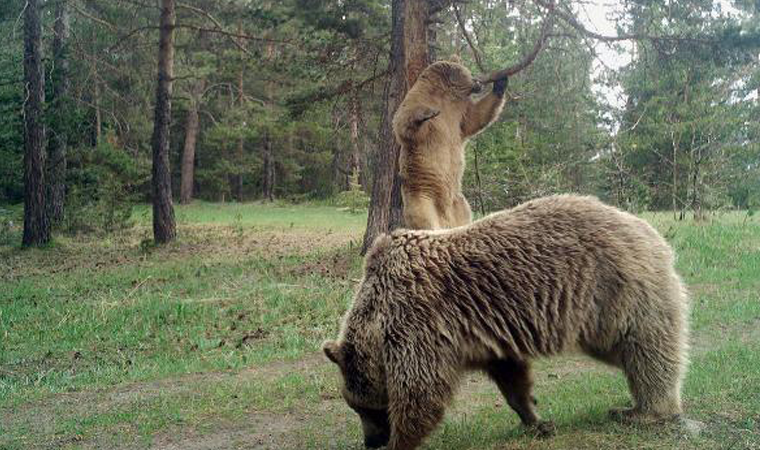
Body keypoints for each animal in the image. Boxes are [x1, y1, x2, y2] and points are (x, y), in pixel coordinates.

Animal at [392, 59, 504, 229]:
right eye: (468, 72)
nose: (478, 82)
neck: (446, 95)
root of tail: (446, 221)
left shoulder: (458, 114)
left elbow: (475, 118)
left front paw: (501, 82)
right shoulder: (420, 102)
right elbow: (403, 122)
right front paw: (426, 114)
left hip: (459, 203)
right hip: (423, 196)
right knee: (424, 218)